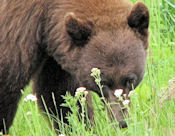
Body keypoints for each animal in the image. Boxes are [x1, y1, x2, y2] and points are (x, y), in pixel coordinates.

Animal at [0, 0, 149, 133]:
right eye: (102, 82)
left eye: (130, 79)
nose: (122, 122)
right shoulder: (17, 29)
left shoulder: (55, 51)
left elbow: (59, 92)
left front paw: (79, 126)